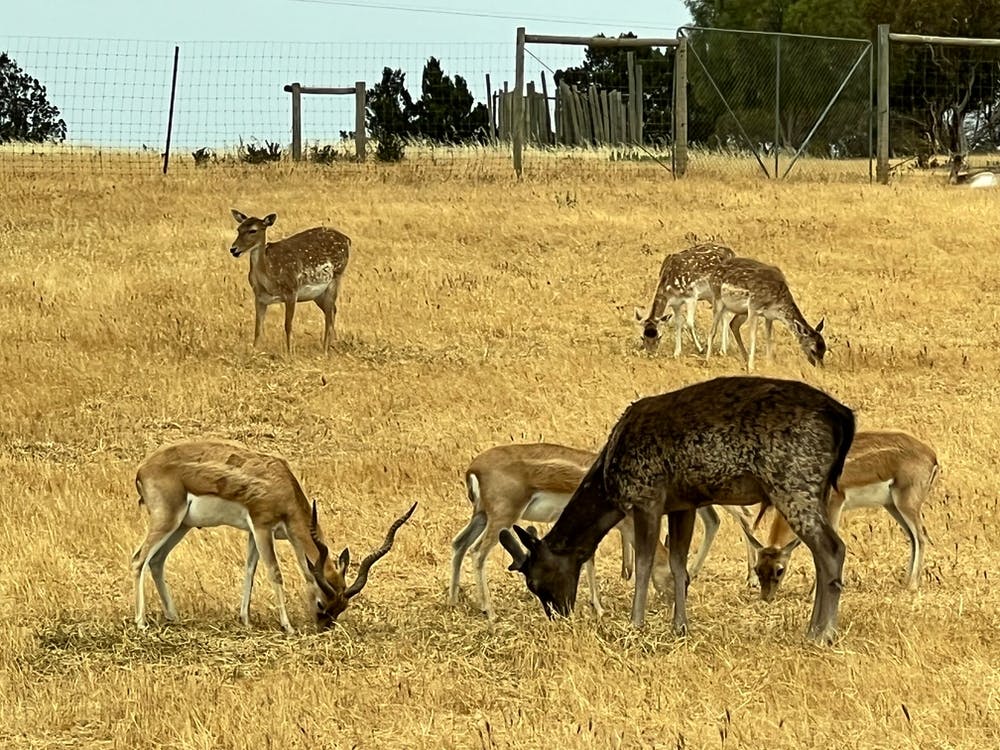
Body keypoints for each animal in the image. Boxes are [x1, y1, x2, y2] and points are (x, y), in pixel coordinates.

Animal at [131, 438, 416, 633]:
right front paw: (287, 626)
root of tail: (143, 469)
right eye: (321, 603)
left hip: (182, 525)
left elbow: (249, 570)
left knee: (156, 561)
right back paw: (141, 622)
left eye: (342, 607)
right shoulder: (261, 526)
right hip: (167, 520)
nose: (323, 628)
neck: (282, 485)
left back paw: (173, 616)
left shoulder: (253, 533)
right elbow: (274, 573)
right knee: (138, 560)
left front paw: (245, 620)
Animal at [229, 209, 351, 354]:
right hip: (317, 293)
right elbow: (258, 328)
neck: (268, 280)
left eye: (253, 230)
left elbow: (288, 325)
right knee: (333, 310)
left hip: (336, 276)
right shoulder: (259, 297)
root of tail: (347, 239)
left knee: (329, 313)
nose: (233, 249)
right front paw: (254, 351)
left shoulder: (292, 290)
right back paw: (332, 344)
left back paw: (325, 348)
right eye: (238, 229)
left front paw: (289, 352)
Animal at [450, 443, 730, 620]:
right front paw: (600, 608)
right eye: (679, 579)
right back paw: (489, 611)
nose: (670, 603)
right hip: (501, 519)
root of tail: (474, 468)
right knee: (477, 553)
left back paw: (453, 601)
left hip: (481, 517)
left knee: (459, 544)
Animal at [499, 375, 856, 644]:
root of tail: (843, 417)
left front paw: (636, 623)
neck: (610, 481)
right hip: (818, 489)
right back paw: (815, 627)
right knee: (822, 553)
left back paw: (823, 632)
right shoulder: (683, 504)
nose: (557, 614)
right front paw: (679, 626)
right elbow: (677, 563)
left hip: (794, 480)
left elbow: (644, 562)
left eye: (535, 580)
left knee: (832, 548)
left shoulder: (647, 494)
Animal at [745, 430, 939, 601]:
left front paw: (813, 595)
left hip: (906, 503)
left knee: (921, 536)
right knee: (913, 538)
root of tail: (931, 455)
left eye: (779, 569)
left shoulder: (835, 504)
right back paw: (905, 582)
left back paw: (912, 585)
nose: (766, 598)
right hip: (892, 506)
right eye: (757, 568)